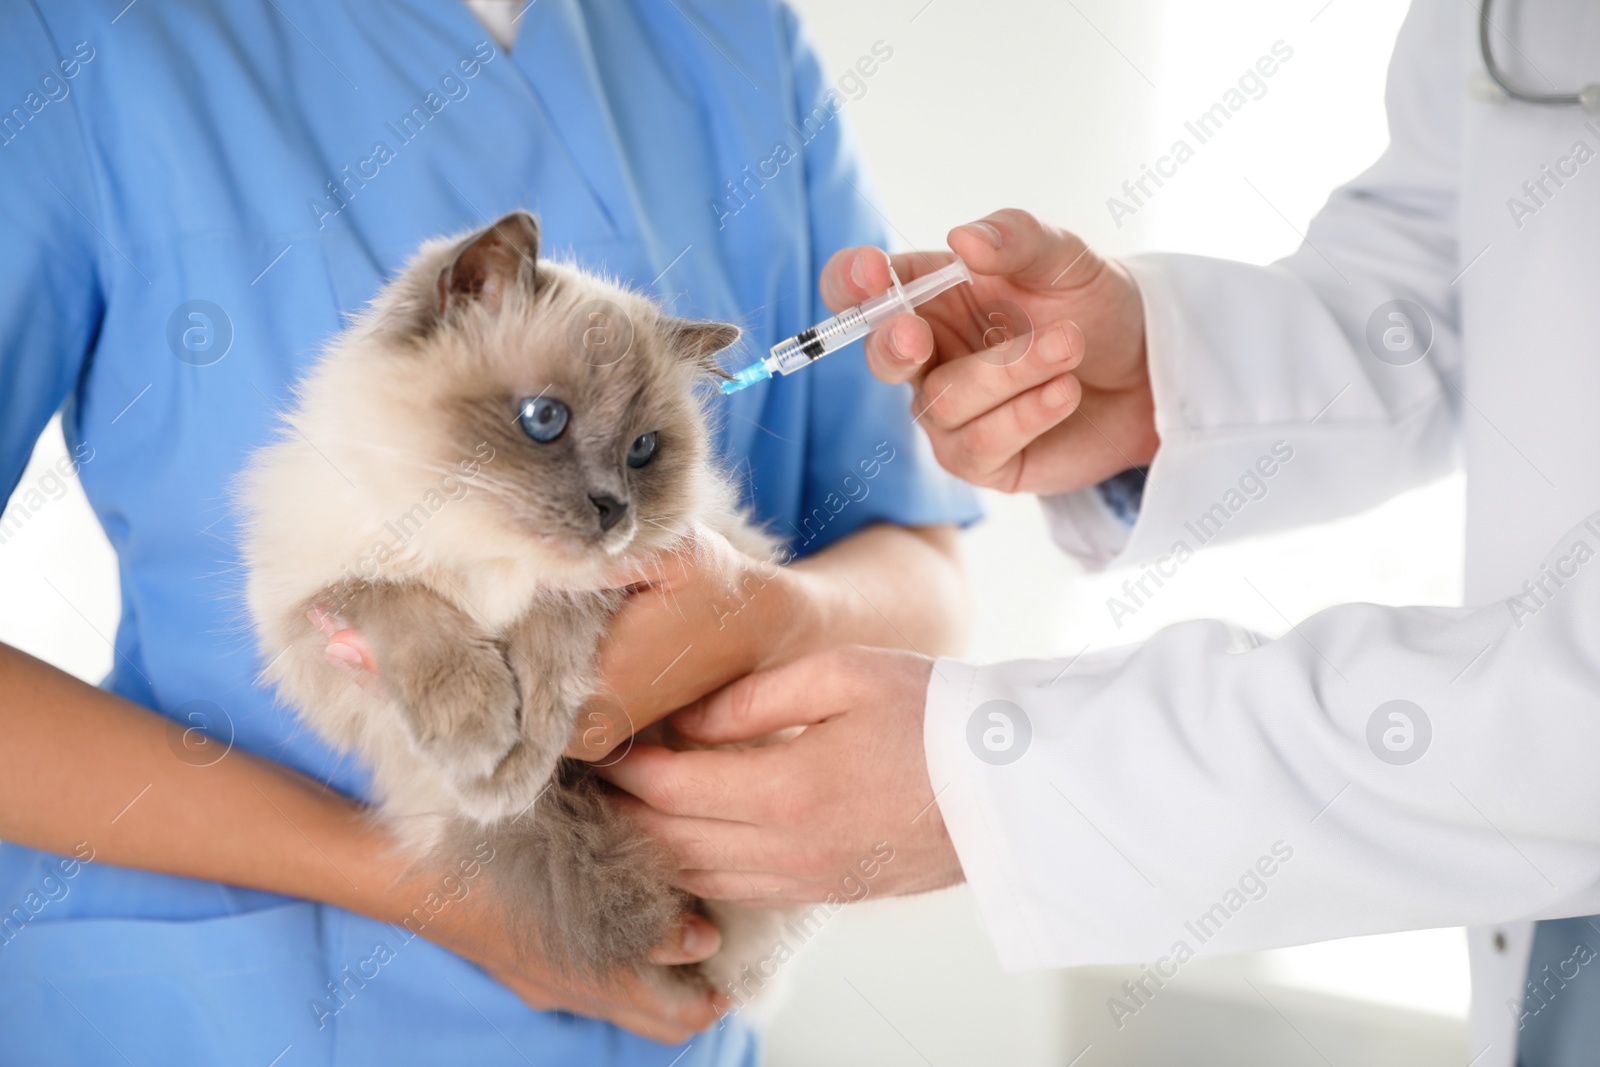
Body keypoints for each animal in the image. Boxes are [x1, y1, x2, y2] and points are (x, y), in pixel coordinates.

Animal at [238, 212, 787, 998]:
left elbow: (547, 638)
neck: (478, 540)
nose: (613, 510)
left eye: (643, 450)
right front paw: (479, 740)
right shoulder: (317, 606)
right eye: (544, 418)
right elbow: (401, 601)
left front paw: (511, 767)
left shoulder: (606, 582)